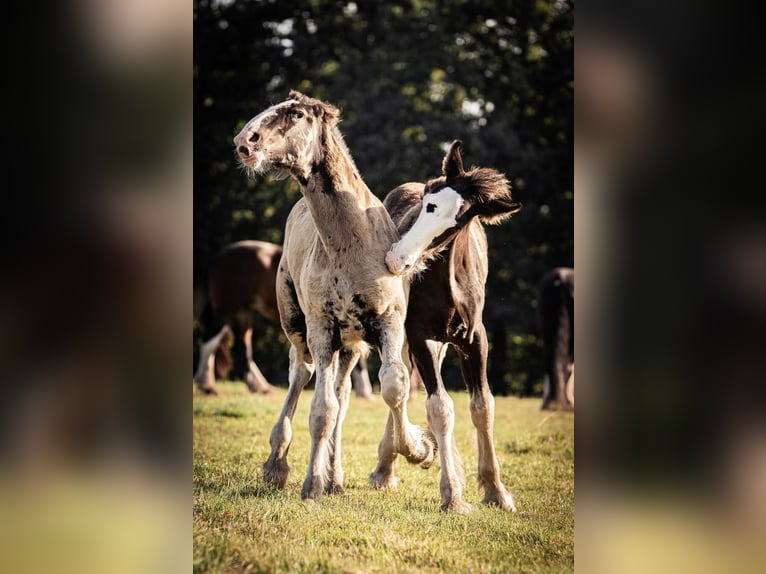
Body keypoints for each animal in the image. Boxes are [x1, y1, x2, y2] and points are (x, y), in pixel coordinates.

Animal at [195, 240, 376, 400]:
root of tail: (218, 258)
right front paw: (364, 392)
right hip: (225, 311)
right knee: (209, 342)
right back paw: (207, 385)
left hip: (243, 313)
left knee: (243, 348)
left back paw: (260, 387)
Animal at [232, 91, 438, 504]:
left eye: (296, 114)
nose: (245, 143)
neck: (352, 244)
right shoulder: (322, 329)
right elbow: (321, 411)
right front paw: (311, 486)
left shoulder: (388, 323)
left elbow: (393, 385)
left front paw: (419, 449)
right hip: (298, 326)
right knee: (302, 374)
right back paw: (279, 464)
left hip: (351, 346)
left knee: (343, 395)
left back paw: (336, 478)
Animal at [382, 142, 520, 516]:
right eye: (427, 202)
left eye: (458, 219)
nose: (398, 259)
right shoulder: (420, 338)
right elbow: (441, 408)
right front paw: (453, 495)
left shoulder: (475, 341)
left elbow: (482, 407)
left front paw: (496, 490)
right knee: (400, 385)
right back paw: (388, 465)